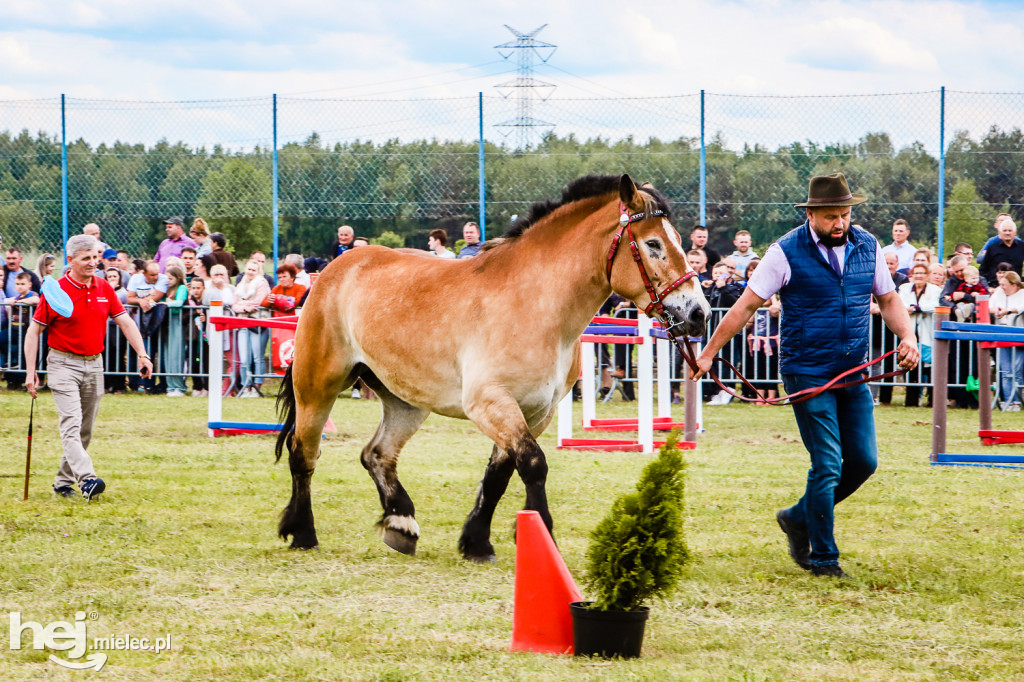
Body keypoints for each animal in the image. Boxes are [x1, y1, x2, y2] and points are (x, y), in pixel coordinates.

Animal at [276, 173, 708, 561]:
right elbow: (533, 464)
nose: (699, 313)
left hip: (405, 401)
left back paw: (401, 524)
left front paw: (476, 542)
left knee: (377, 454)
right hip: (318, 386)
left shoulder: (534, 412)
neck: (535, 304)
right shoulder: (491, 403)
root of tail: (334, 268)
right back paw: (303, 533)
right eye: (653, 244)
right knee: (304, 453)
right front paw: (540, 536)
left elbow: (500, 474)